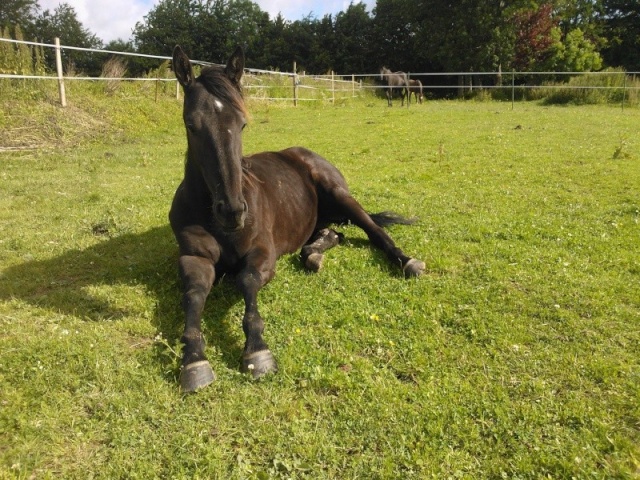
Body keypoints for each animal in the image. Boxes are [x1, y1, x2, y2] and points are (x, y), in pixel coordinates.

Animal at [170, 45, 424, 392]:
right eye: (190, 124)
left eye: (242, 124)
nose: (232, 211)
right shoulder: (193, 258)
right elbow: (194, 295)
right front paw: (193, 360)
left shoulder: (263, 252)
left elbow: (246, 280)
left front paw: (257, 351)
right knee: (333, 235)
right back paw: (314, 254)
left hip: (340, 195)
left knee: (374, 231)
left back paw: (407, 261)